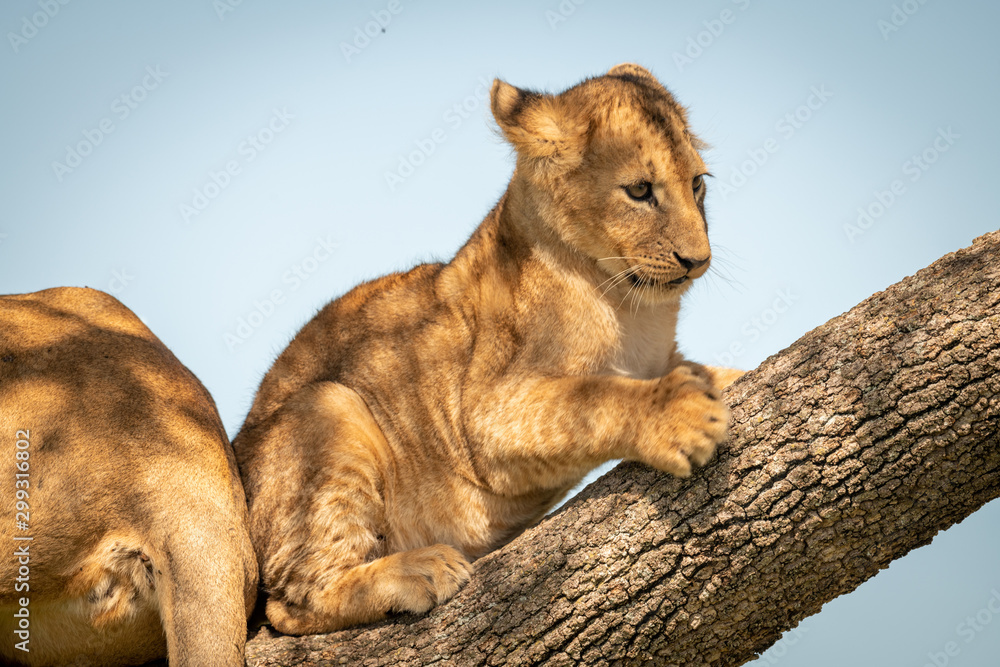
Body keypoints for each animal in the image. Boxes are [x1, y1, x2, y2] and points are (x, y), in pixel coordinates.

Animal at [233, 63, 742, 636]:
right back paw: (419, 570)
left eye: (697, 184)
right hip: (328, 406)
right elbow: (595, 399)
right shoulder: (486, 413)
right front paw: (679, 415)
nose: (697, 261)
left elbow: (695, 368)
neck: (634, 309)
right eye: (639, 190)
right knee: (290, 604)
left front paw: (725, 378)